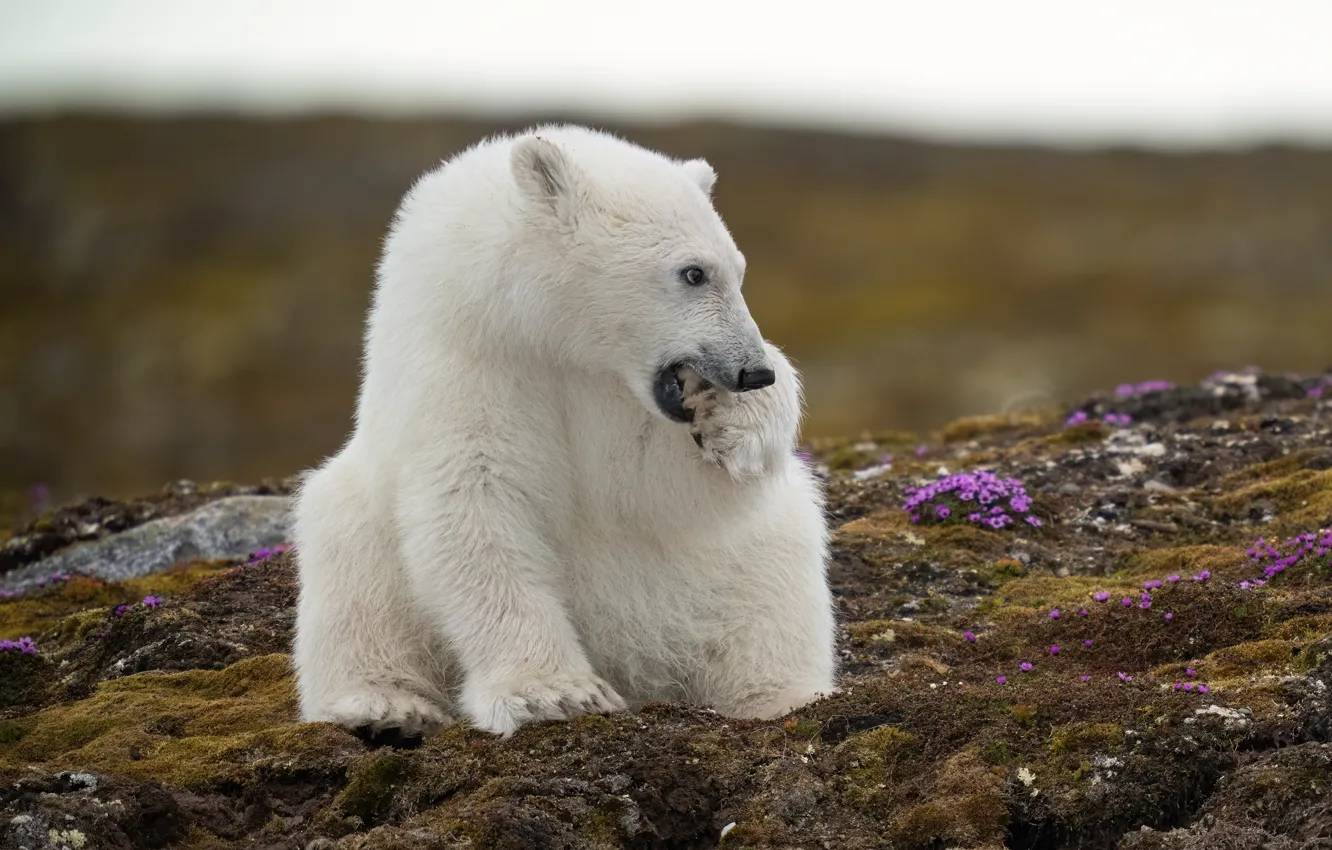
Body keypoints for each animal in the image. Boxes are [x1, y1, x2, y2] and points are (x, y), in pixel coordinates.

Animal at [291, 123, 831, 740]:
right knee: (350, 572)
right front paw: (555, 693)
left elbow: (663, 492)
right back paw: (384, 707)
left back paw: (785, 698)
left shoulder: (615, 399)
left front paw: (733, 419)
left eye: (739, 270)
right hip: (359, 531)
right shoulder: (467, 369)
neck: (545, 335)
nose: (752, 371)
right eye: (694, 272)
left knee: (777, 574)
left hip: (737, 571)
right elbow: (475, 503)